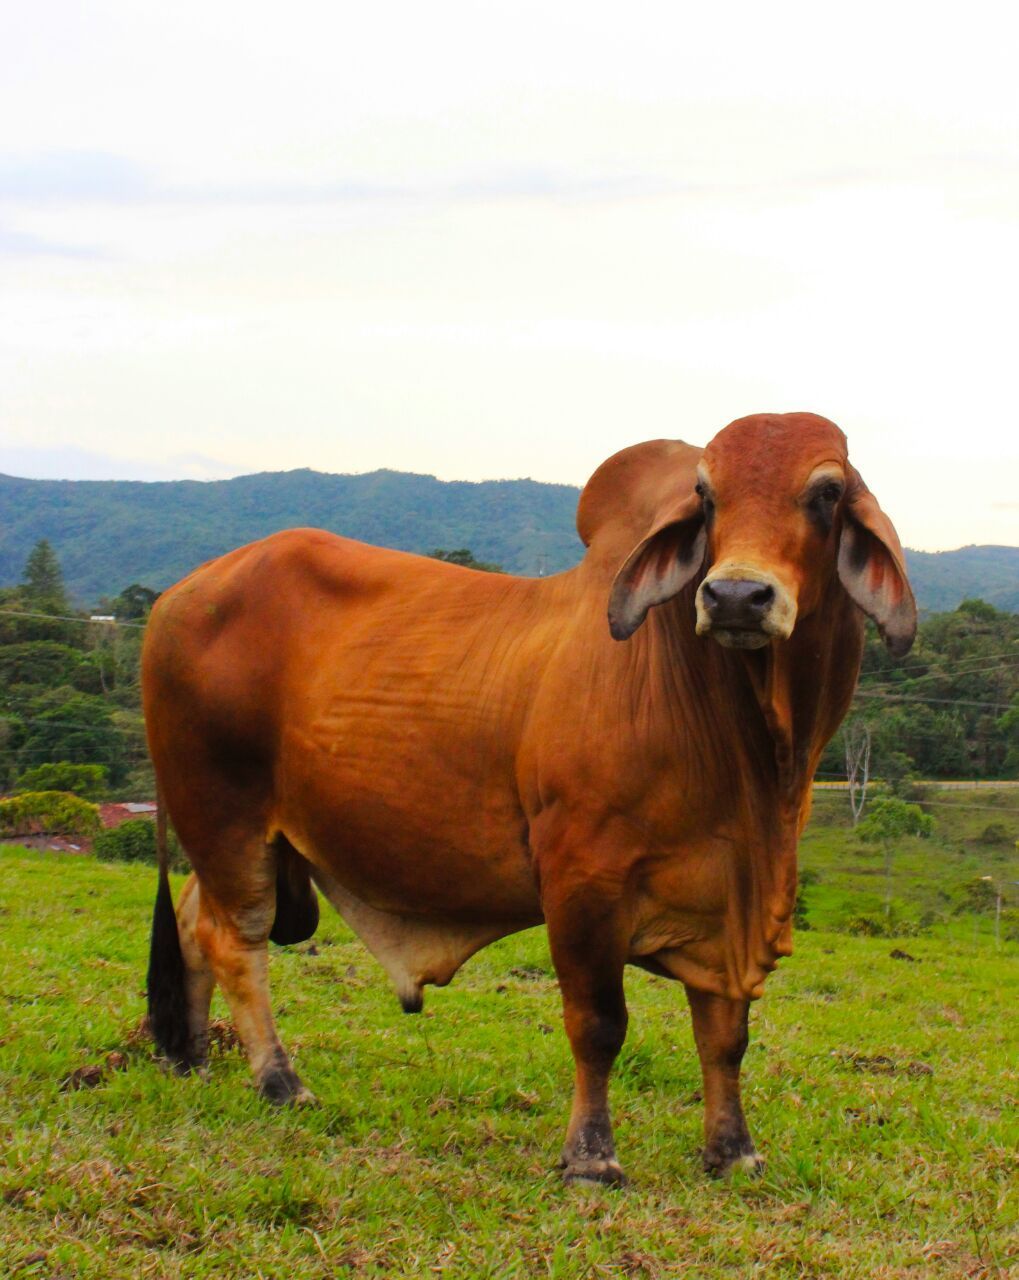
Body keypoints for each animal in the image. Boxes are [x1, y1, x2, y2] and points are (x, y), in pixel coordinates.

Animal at [142, 411, 915, 1184]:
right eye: (706, 493)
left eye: (826, 492)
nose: (733, 598)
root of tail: (177, 594)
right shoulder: (581, 878)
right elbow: (598, 1025)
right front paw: (591, 1157)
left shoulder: (727, 899)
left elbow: (725, 1036)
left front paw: (733, 1152)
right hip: (222, 811)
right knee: (234, 939)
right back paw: (279, 1080)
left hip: (248, 836)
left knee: (194, 920)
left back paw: (193, 1059)